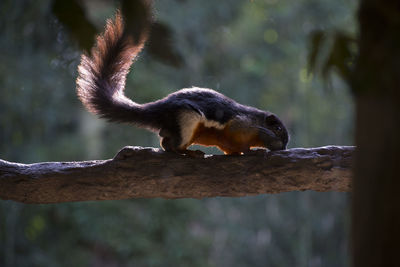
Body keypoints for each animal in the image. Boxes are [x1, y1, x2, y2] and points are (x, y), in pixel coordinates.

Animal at [76, 13, 288, 156]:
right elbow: (239, 142)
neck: (256, 123)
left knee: (165, 140)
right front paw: (253, 150)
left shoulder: (227, 142)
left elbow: (230, 149)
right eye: (277, 129)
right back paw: (188, 152)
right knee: (171, 146)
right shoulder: (239, 125)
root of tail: (158, 109)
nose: (285, 146)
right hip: (186, 121)